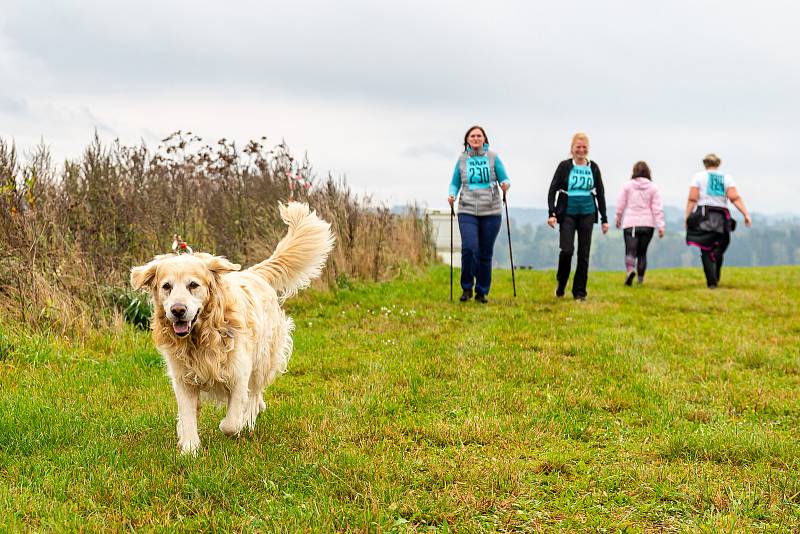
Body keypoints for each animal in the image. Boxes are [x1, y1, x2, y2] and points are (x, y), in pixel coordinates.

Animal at [130, 203, 332, 454]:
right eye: (166, 286)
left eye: (193, 285)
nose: (177, 310)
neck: (202, 335)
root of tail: (253, 272)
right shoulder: (182, 379)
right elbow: (187, 414)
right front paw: (189, 448)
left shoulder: (239, 372)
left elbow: (231, 421)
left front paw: (235, 424)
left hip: (263, 358)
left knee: (255, 392)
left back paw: (251, 416)